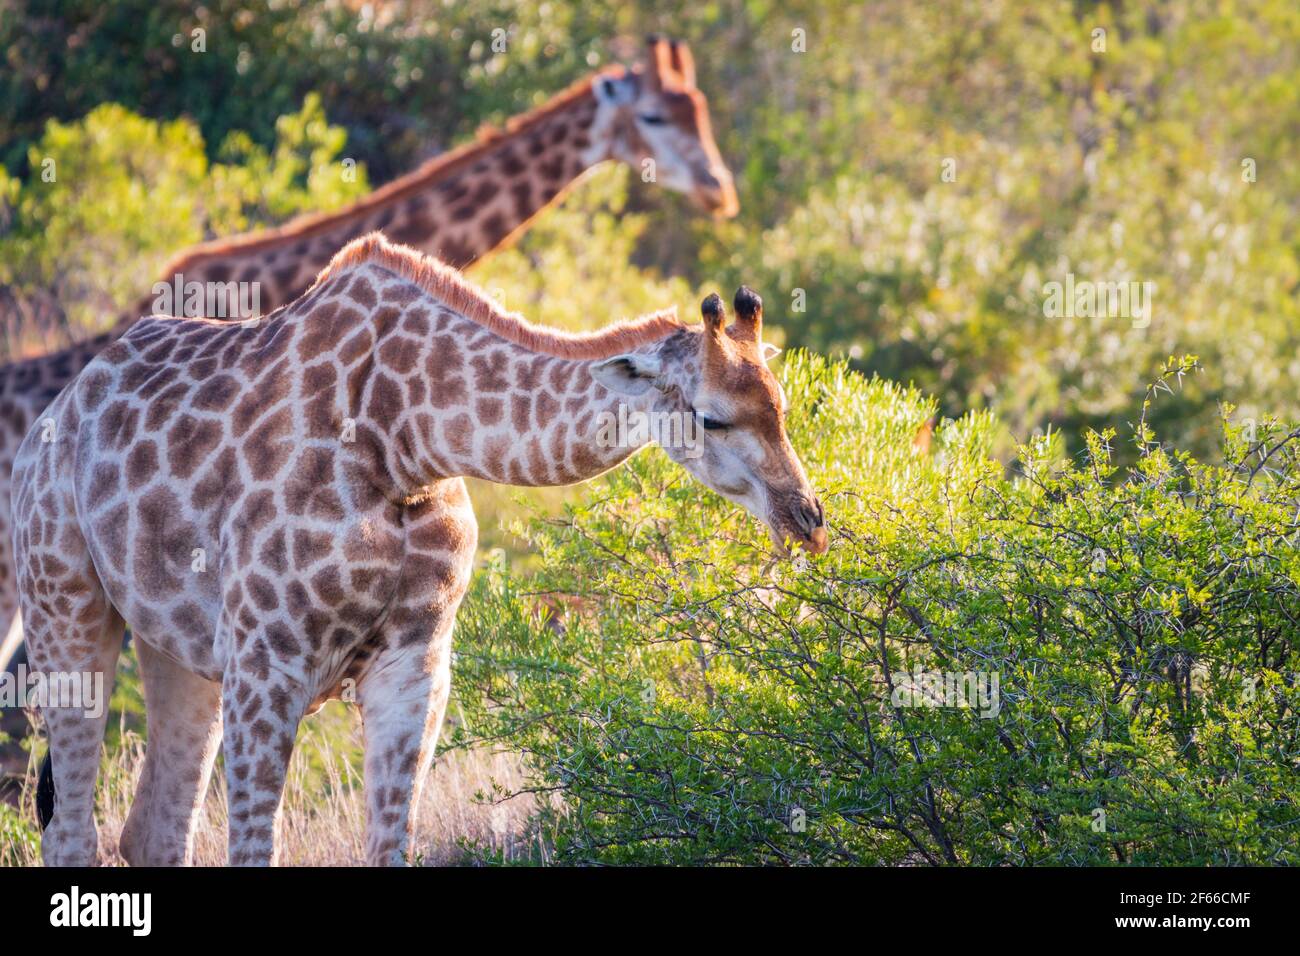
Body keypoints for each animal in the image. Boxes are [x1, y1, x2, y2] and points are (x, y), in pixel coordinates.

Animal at [13, 232, 827, 866]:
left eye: (782, 405)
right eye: (713, 418)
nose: (808, 517)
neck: (403, 435)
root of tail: (54, 415)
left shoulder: (416, 664)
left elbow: (388, 847)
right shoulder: (267, 664)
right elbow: (255, 849)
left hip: (178, 652)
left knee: (151, 831)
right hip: (65, 609)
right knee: (71, 829)